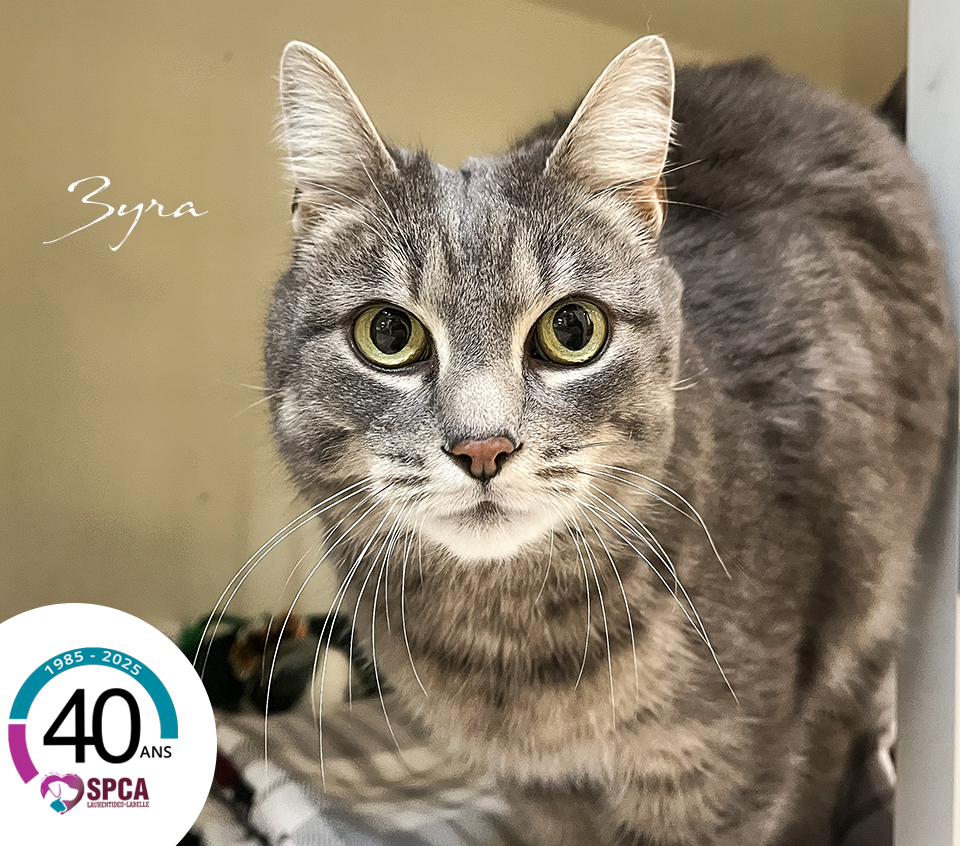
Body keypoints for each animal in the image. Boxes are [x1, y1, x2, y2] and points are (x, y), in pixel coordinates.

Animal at [264, 35, 954, 846]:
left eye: (572, 330)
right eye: (388, 334)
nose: (482, 448)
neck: (512, 648)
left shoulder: (718, 774)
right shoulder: (541, 789)